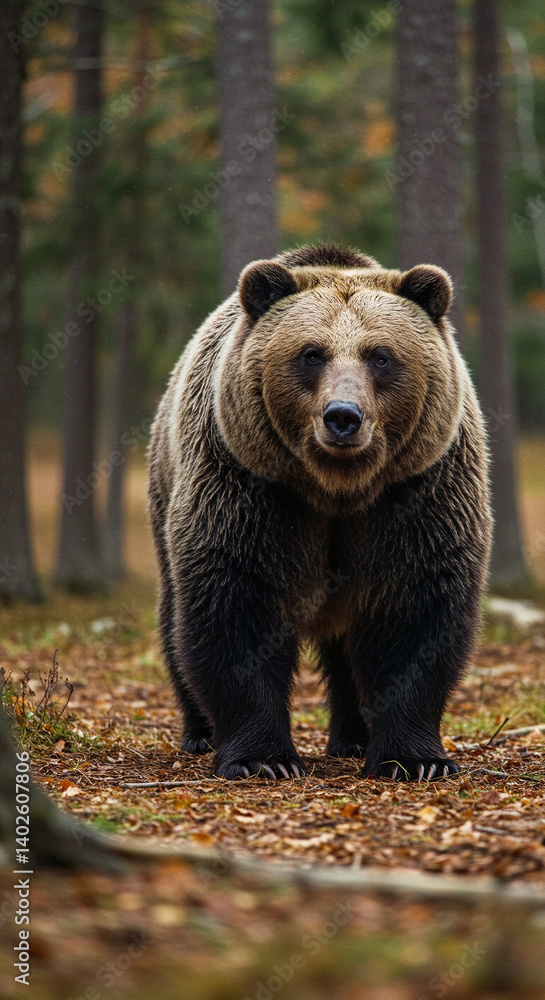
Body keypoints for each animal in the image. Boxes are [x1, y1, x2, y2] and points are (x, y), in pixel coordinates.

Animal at [148, 243, 492, 782]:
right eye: (312, 354)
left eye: (380, 356)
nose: (343, 416)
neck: (336, 490)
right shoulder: (252, 489)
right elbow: (236, 604)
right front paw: (263, 757)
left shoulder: (417, 492)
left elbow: (416, 611)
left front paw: (414, 759)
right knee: (173, 619)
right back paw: (200, 732)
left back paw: (352, 738)